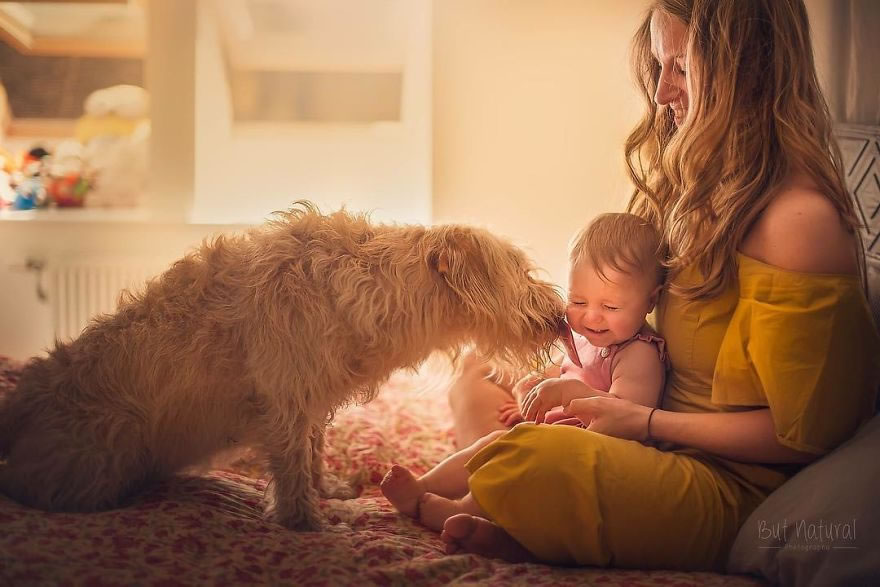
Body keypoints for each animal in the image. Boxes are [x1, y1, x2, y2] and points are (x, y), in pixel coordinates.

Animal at [0, 202, 564, 532]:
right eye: (522, 273)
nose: (561, 315)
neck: (379, 288)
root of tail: (20, 406)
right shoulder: (287, 400)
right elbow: (292, 466)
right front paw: (308, 522)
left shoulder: (310, 401)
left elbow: (312, 453)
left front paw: (328, 492)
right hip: (99, 466)